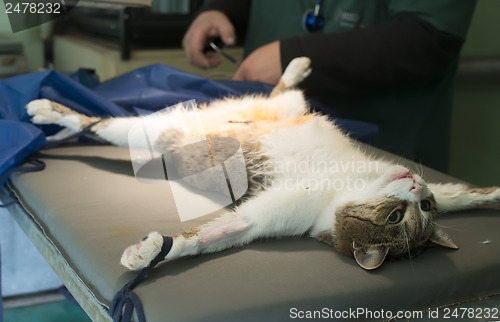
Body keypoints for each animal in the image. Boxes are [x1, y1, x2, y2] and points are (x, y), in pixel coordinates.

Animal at [25, 57, 500, 270]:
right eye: (399, 214)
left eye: (419, 211)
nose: (418, 188)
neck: (347, 187)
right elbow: (463, 194)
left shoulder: (274, 216)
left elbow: (220, 233)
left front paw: (153, 251)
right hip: (186, 125)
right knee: (97, 122)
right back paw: (50, 110)